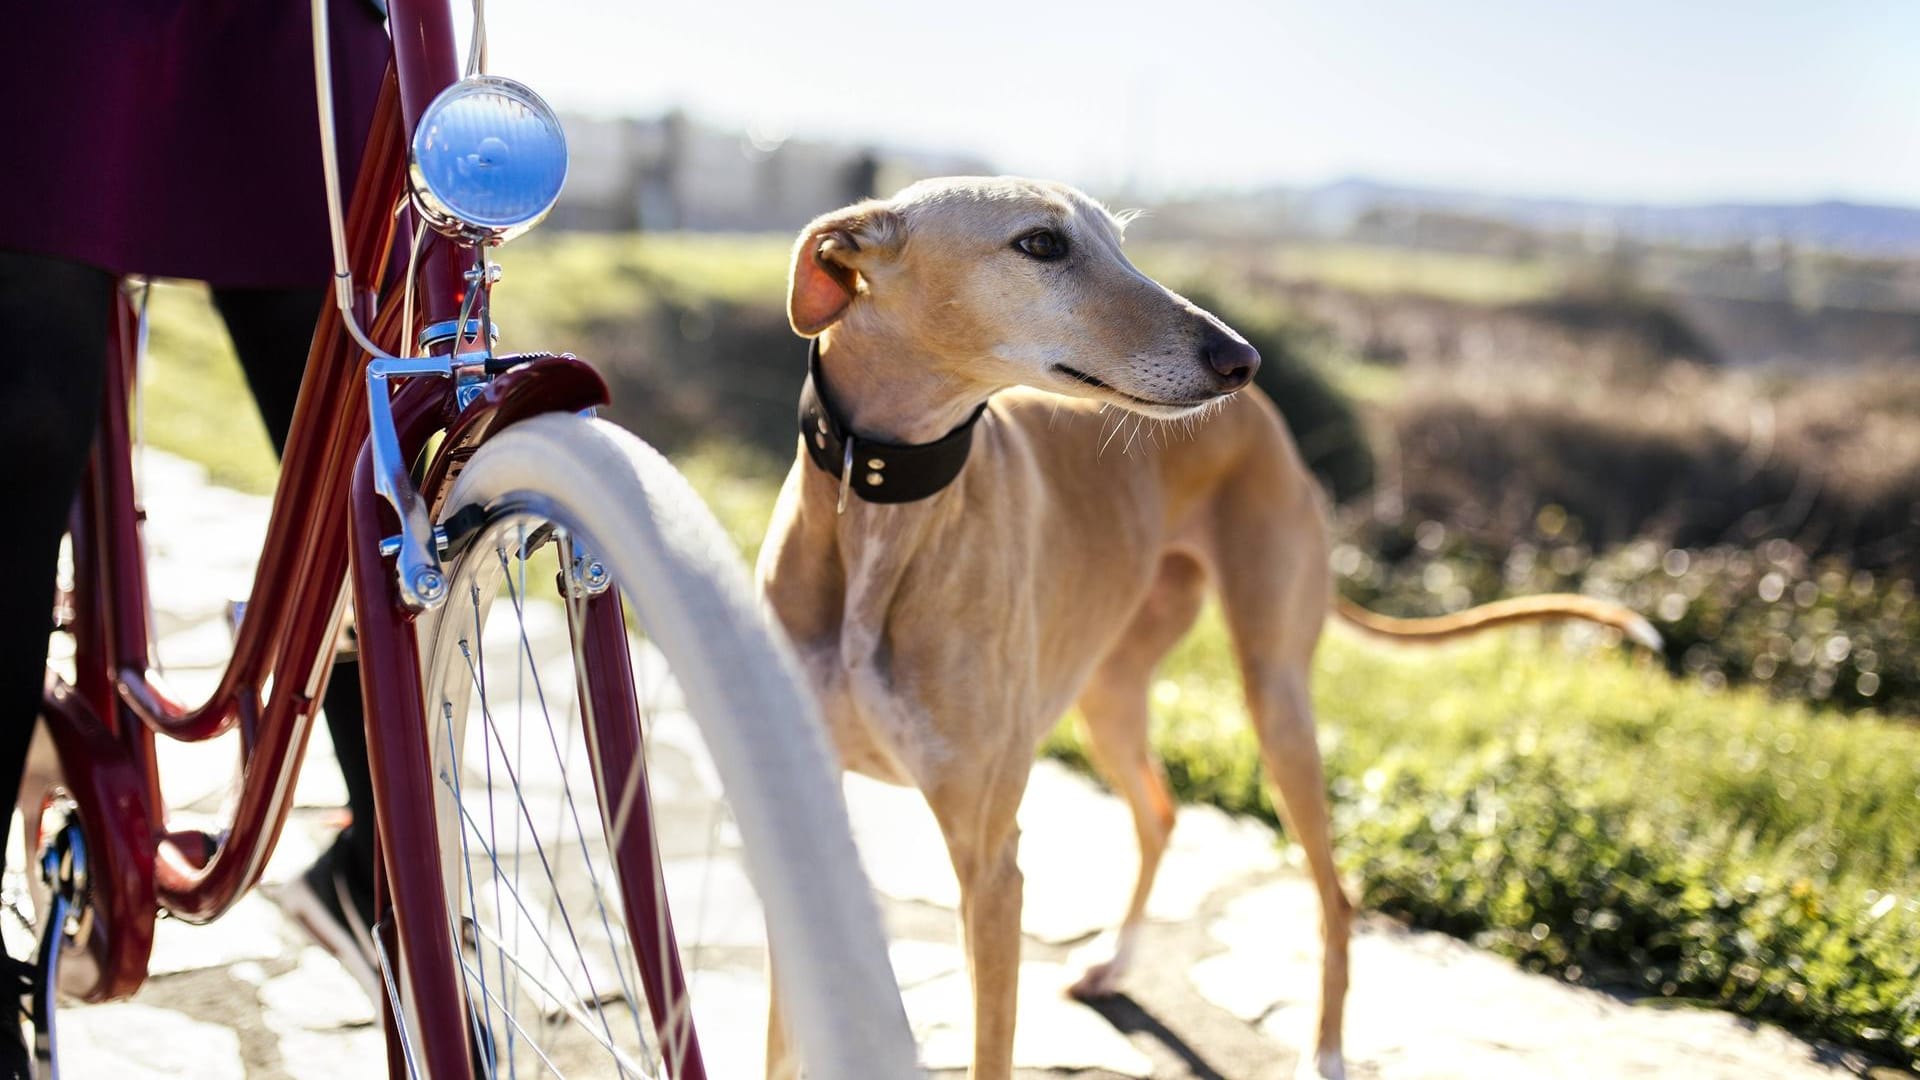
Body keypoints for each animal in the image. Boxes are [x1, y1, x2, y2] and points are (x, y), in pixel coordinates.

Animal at [756, 171, 1658, 1068]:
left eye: (1120, 242)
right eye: (1041, 242)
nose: (1242, 360)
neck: (876, 496)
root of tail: (1274, 425)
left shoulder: (991, 861)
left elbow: (992, 1051)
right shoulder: (805, 811)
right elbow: (781, 1041)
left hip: (1274, 697)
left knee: (1334, 892)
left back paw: (1324, 1052)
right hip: (1109, 691)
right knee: (1160, 814)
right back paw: (1118, 962)